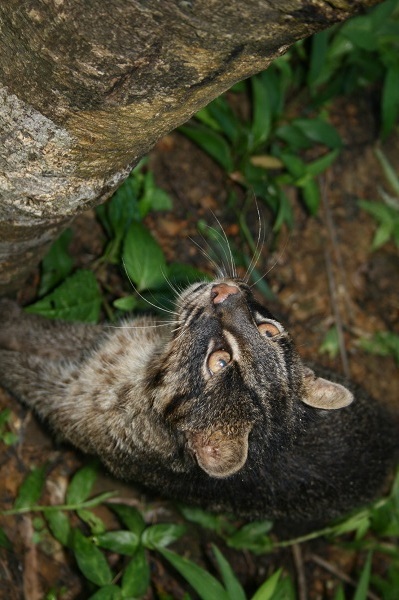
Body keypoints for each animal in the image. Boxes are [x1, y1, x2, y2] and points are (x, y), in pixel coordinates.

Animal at [0, 253, 398, 528]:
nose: (228, 292)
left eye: (218, 362)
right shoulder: (99, 344)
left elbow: (25, 368)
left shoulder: (70, 402)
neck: (148, 369)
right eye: (268, 329)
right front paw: (14, 320)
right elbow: (50, 331)